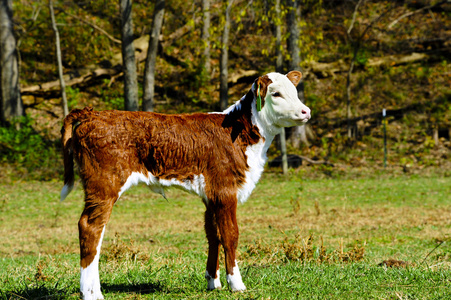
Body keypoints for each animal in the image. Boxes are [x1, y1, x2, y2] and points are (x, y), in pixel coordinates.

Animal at [61, 70, 310, 298]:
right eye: (276, 94)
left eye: (295, 91)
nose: (305, 111)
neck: (241, 135)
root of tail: (93, 114)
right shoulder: (225, 190)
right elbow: (230, 234)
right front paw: (236, 284)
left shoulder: (211, 195)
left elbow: (213, 233)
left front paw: (214, 282)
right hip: (104, 184)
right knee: (91, 227)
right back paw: (91, 292)